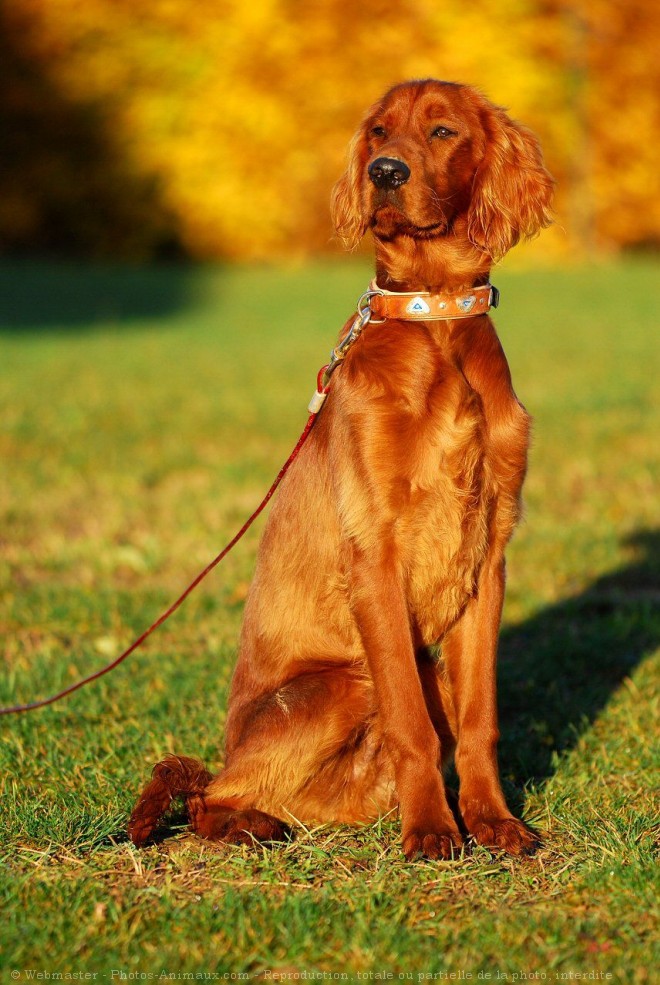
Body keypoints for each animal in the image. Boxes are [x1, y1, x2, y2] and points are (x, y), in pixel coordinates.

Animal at [127, 80, 552, 856]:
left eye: (442, 130)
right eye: (378, 131)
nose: (384, 171)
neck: (435, 320)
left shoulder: (488, 553)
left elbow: (480, 720)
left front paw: (492, 820)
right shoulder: (374, 550)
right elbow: (413, 724)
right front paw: (431, 830)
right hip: (341, 684)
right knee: (207, 796)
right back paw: (253, 823)